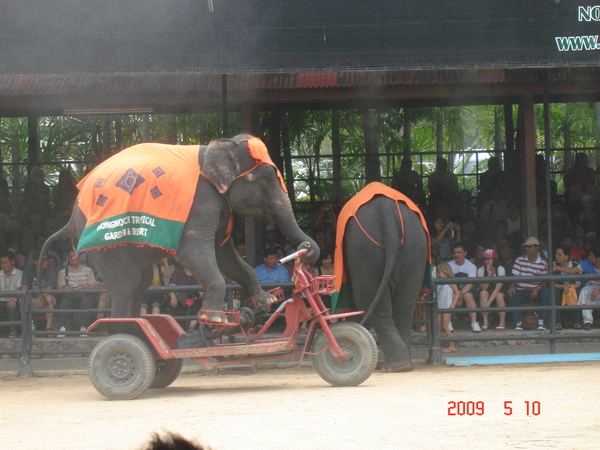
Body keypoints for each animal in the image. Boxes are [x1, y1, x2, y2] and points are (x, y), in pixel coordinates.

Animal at [39, 134, 322, 324]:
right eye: (264, 178)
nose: (306, 247)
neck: (215, 148)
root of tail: (73, 214)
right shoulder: (200, 203)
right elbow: (194, 252)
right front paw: (215, 319)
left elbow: (224, 255)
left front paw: (265, 302)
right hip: (104, 241)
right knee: (127, 285)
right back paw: (121, 330)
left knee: (140, 282)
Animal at [332, 181, 432, 370]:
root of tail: (386, 213)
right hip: (415, 246)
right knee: (405, 305)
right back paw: (404, 366)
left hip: (364, 249)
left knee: (367, 301)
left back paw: (393, 366)